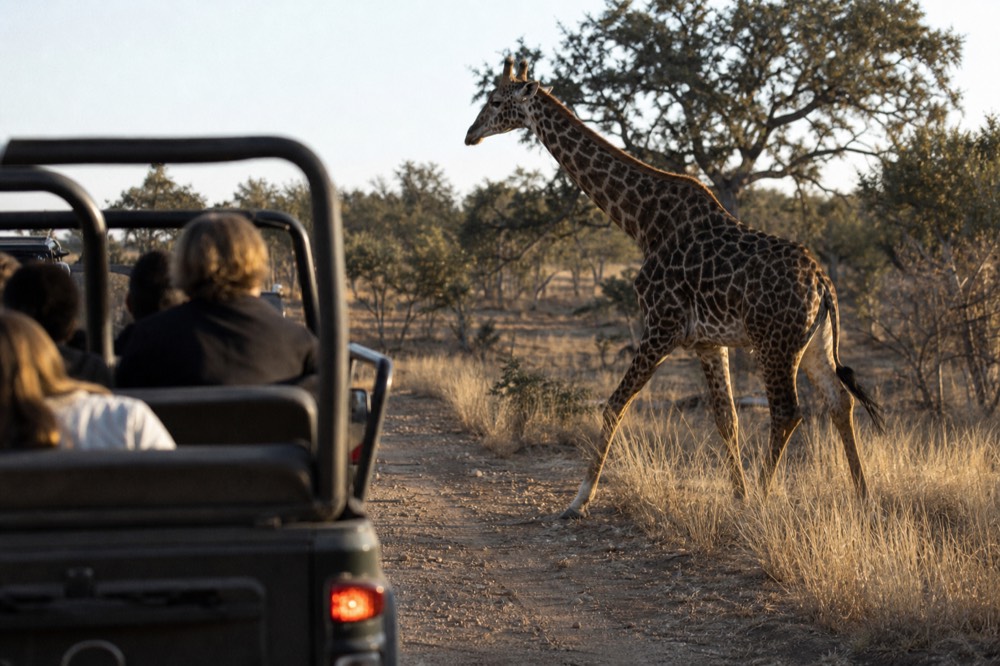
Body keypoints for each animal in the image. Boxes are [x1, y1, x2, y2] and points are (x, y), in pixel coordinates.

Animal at [465, 56, 885, 519]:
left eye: (495, 100)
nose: (470, 134)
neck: (644, 222)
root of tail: (823, 284)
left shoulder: (661, 326)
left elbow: (614, 405)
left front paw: (578, 500)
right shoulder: (707, 341)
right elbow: (725, 419)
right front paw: (737, 497)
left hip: (774, 344)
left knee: (788, 413)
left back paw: (765, 498)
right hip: (813, 345)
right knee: (839, 401)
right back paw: (863, 497)